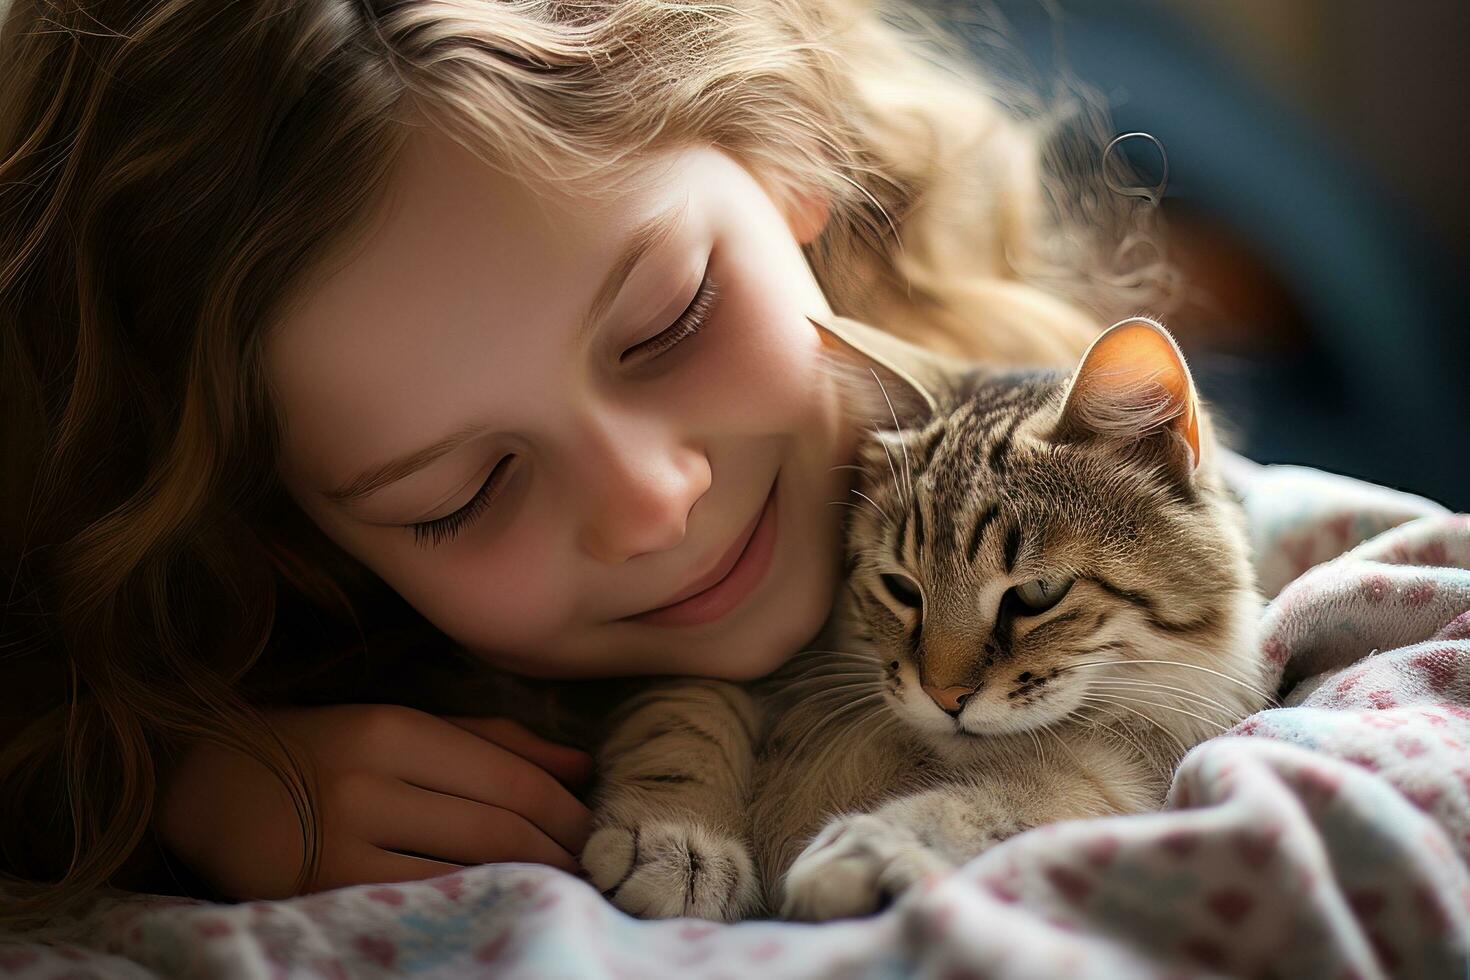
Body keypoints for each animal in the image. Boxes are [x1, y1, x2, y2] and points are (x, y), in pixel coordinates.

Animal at [579, 312, 1270, 922]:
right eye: (900, 587)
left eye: (1038, 593)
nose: (944, 697)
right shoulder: (721, 649)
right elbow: (687, 723)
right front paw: (674, 842)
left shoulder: (1117, 781)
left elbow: (1006, 806)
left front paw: (872, 848)